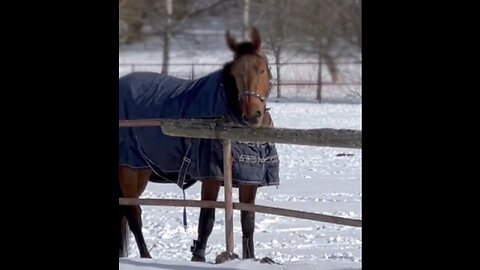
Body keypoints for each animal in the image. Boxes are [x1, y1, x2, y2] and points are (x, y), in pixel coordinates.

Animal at [117, 27, 280, 262]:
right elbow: (207, 219)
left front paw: (250, 259)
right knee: (134, 215)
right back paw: (147, 257)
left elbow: (248, 223)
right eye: (235, 75)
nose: (252, 116)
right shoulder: (211, 177)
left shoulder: (250, 180)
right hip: (131, 172)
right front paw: (199, 257)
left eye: (261, 69)